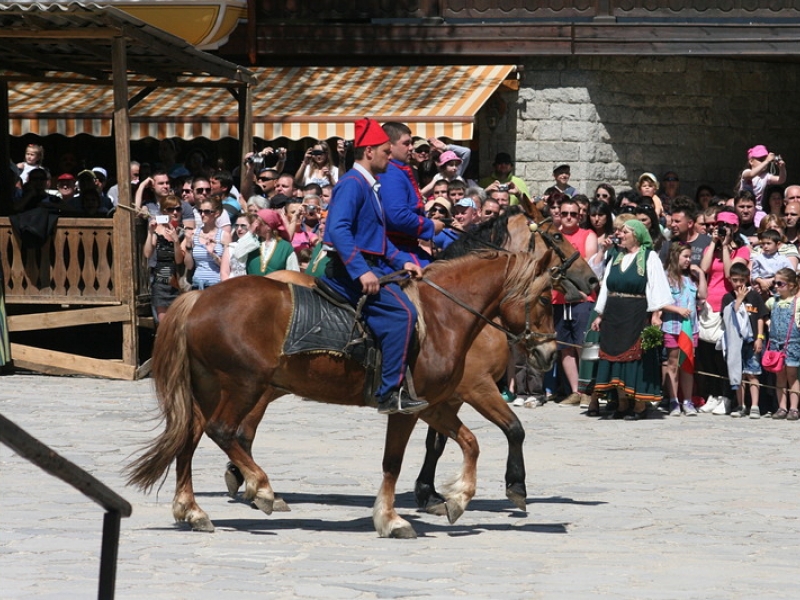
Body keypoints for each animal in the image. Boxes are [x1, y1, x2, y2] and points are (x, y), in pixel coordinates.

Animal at [126, 246, 564, 536]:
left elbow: (470, 443)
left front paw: (457, 499)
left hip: (210, 388)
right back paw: (261, 488)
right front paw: (391, 518)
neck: (443, 317)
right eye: (545, 297)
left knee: (190, 438)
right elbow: (393, 462)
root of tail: (199, 297)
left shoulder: (433, 404)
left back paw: (193, 510)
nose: (549, 353)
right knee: (224, 432)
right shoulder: (407, 406)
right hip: (243, 386)